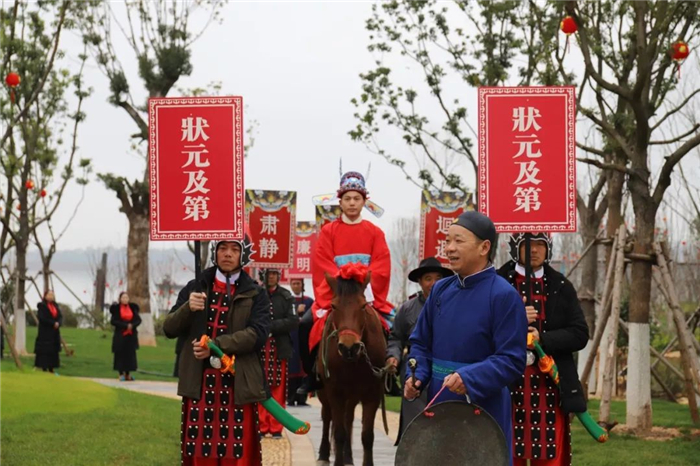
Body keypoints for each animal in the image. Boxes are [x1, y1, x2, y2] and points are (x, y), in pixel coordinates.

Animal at [318, 274, 388, 466]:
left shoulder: (372, 394)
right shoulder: (335, 392)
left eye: (363, 306)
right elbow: (339, 433)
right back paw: (323, 454)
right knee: (327, 417)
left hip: (352, 396)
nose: (349, 347)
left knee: (348, 419)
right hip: (325, 393)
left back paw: (348, 456)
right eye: (333, 306)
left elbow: (367, 436)